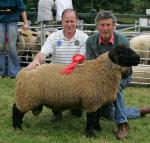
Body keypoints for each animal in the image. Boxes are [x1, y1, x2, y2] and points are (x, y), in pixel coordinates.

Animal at [12, 45, 140, 137]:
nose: (138, 58)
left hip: (27, 97)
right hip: (27, 97)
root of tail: (22, 72)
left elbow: (97, 116)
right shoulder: (91, 101)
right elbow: (91, 118)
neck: (101, 70)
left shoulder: (97, 100)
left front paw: (97, 128)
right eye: (122, 52)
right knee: (16, 110)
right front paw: (90, 134)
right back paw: (17, 127)